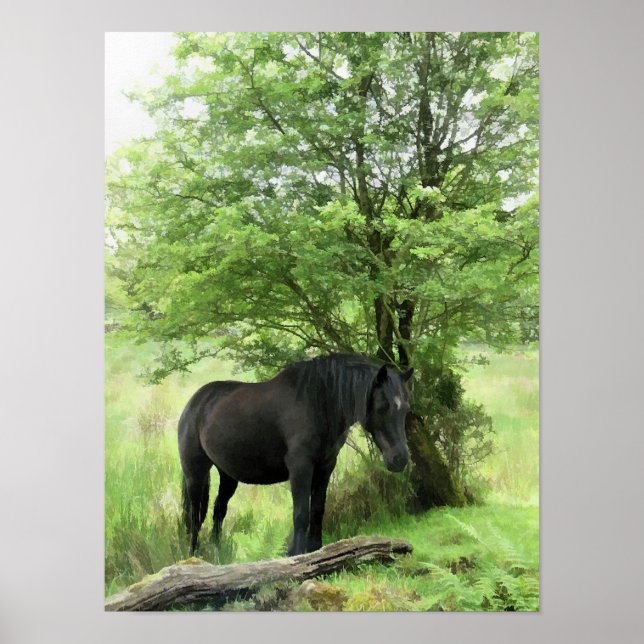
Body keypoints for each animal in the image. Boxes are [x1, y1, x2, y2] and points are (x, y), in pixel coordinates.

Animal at [178, 353, 413, 556]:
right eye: (382, 406)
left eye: (406, 408)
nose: (400, 459)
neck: (318, 403)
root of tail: (194, 402)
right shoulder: (301, 467)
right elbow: (301, 513)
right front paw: (296, 554)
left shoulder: (325, 466)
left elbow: (317, 510)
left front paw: (316, 549)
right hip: (195, 473)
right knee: (195, 517)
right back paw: (193, 556)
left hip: (227, 475)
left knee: (218, 511)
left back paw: (217, 554)